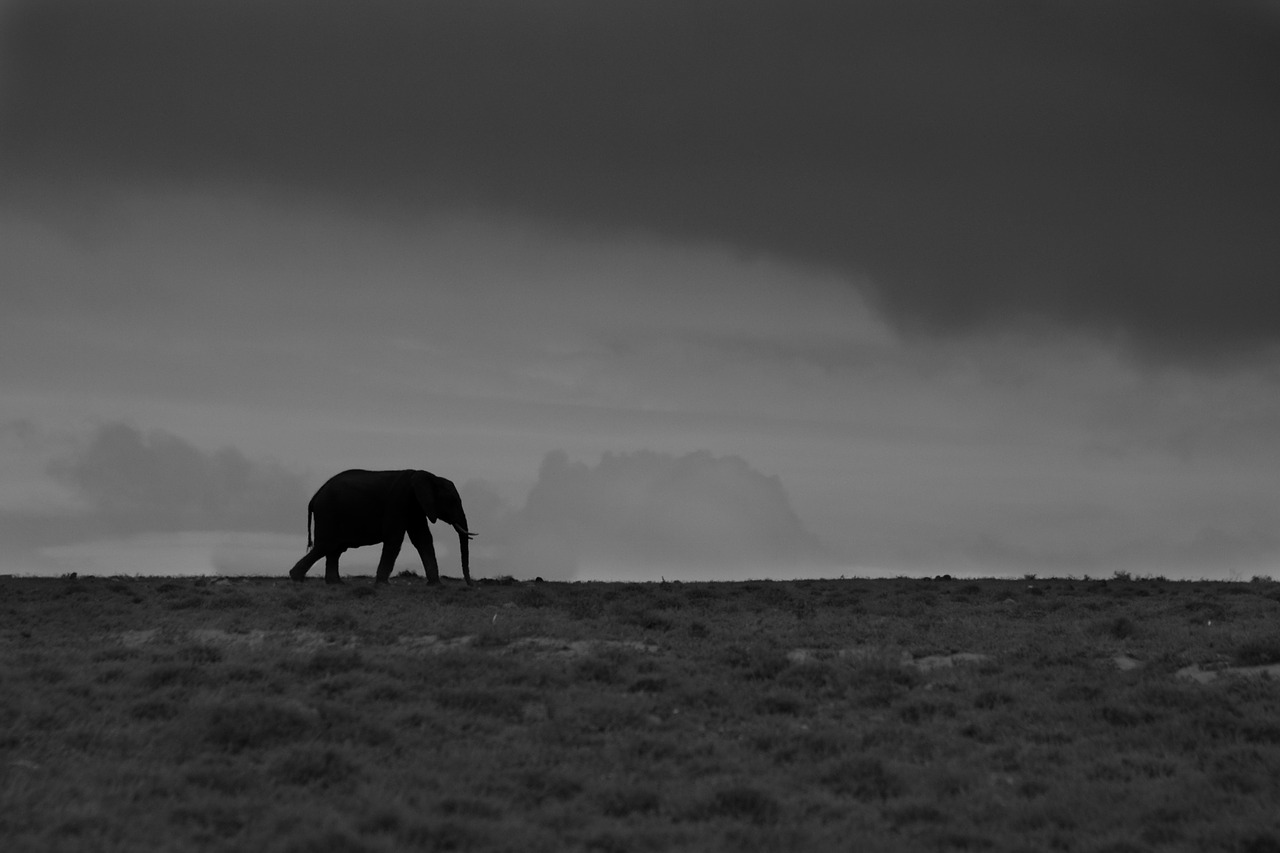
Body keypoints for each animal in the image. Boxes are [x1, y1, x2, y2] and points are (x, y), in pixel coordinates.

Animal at [288, 468, 478, 581]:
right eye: (452, 501)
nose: (470, 584)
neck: (426, 475)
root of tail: (314, 497)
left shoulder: (415, 507)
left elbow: (422, 538)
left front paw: (435, 585)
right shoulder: (399, 501)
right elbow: (395, 539)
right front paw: (381, 584)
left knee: (335, 549)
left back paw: (336, 584)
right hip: (328, 512)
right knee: (326, 546)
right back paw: (296, 578)